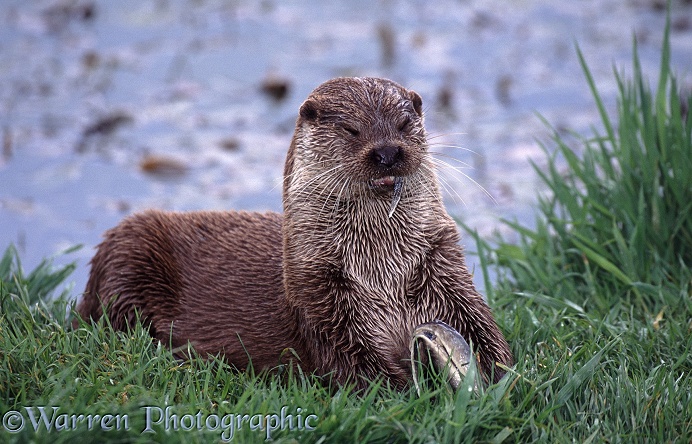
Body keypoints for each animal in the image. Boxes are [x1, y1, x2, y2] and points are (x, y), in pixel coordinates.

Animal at [75, 78, 510, 390]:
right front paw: (404, 390)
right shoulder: (321, 294)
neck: (382, 272)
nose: (388, 151)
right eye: (352, 129)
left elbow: (483, 328)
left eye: (405, 125)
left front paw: (501, 376)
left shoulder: (441, 264)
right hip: (127, 247)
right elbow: (355, 363)